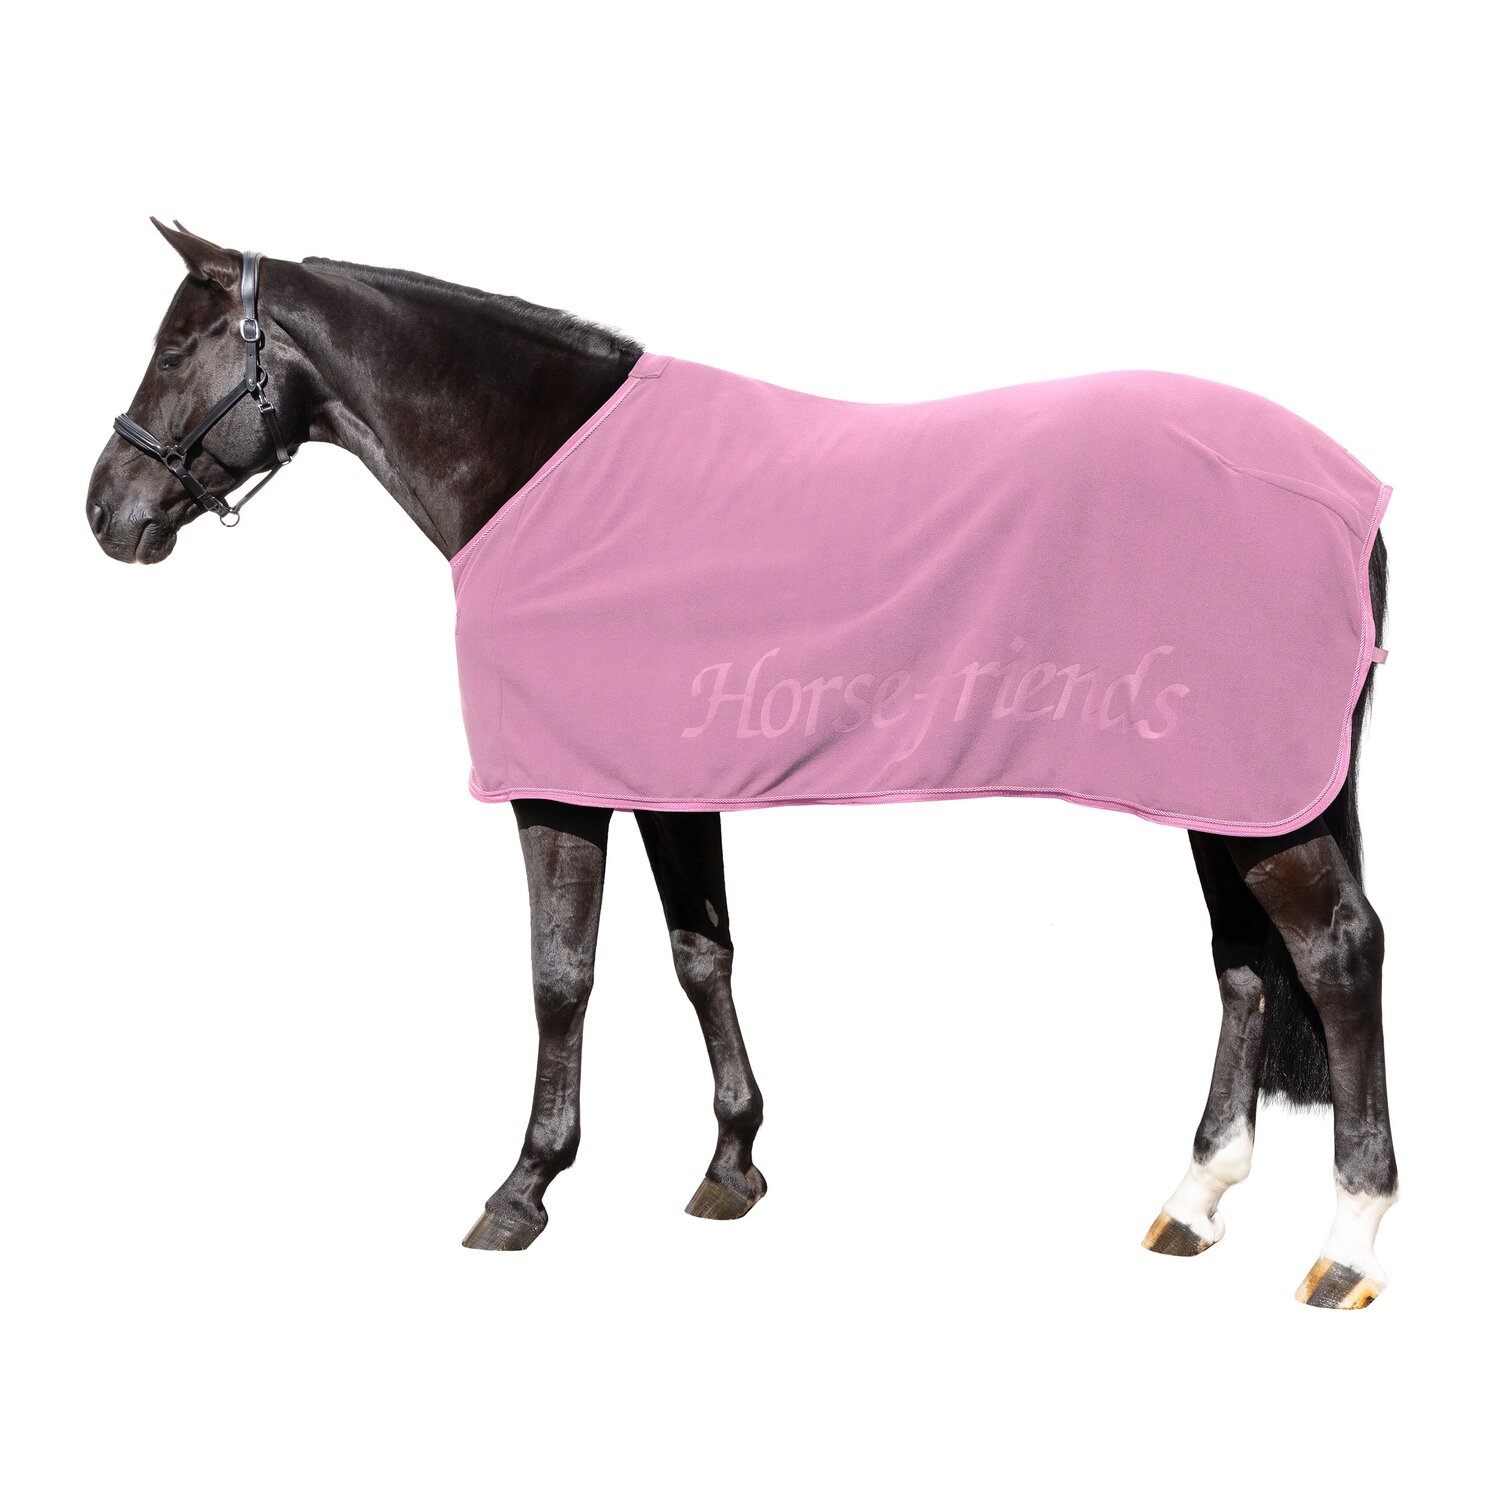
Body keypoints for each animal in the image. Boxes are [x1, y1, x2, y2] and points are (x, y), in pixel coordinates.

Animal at [86, 220, 1397, 1308]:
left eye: (175, 348)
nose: (106, 512)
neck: (537, 474)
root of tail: (1351, 491)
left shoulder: (560, 788)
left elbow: (560, 976)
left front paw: (524, 1189)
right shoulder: (664, 783)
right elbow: (699, 955)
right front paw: (732, 1165)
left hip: (1257, 799)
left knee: (1336, 954)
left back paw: (1348, 1246)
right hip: (1221, 790)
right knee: (1244, 965)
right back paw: (1193, 1202)